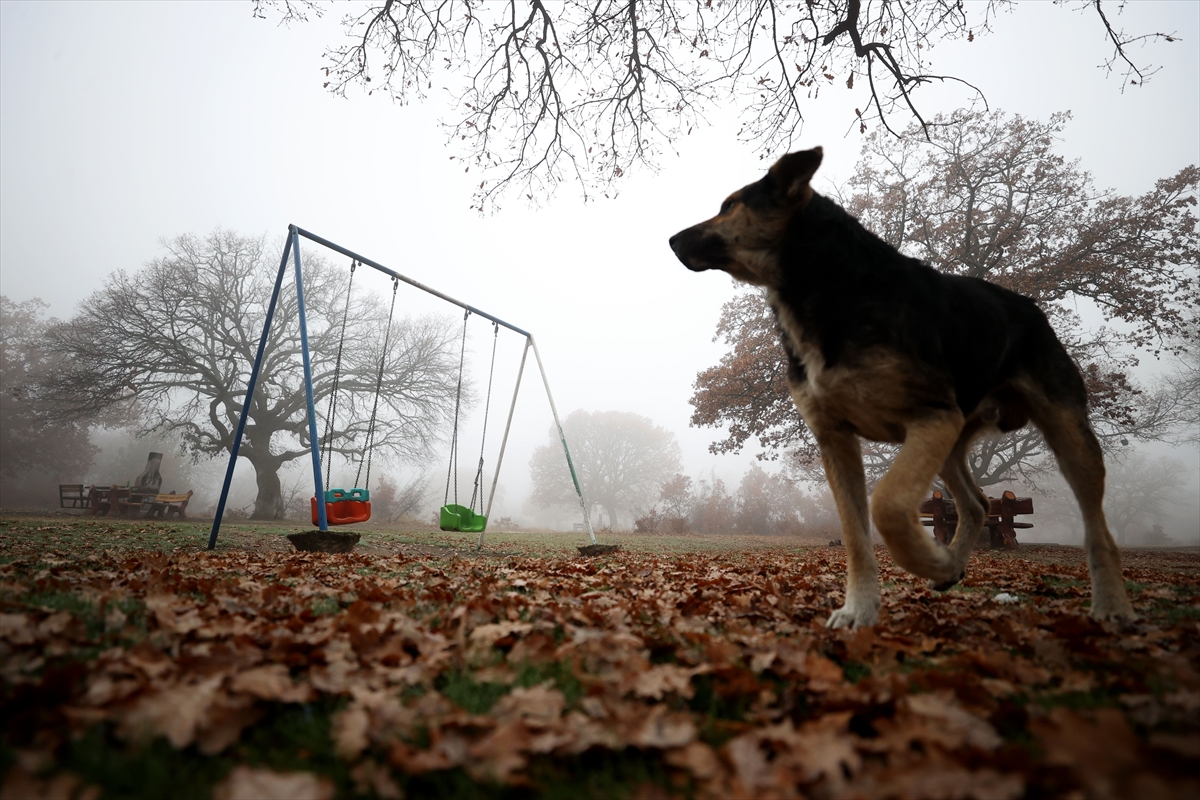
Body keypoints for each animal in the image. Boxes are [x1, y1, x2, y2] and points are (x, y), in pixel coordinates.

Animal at [676, 146, 1132, 628]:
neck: (828, 283)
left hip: (1063, 434)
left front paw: (928, 560)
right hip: (951, 439)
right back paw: (953, 566)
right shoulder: (838, 438)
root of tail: (1030, 306)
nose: (670, 240)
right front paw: (861, 607)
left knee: (1097, 528)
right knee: (977, 504)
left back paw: (1111, 607)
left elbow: (888, 505)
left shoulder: (926, 418)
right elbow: (856, 533)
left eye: (729, 206)